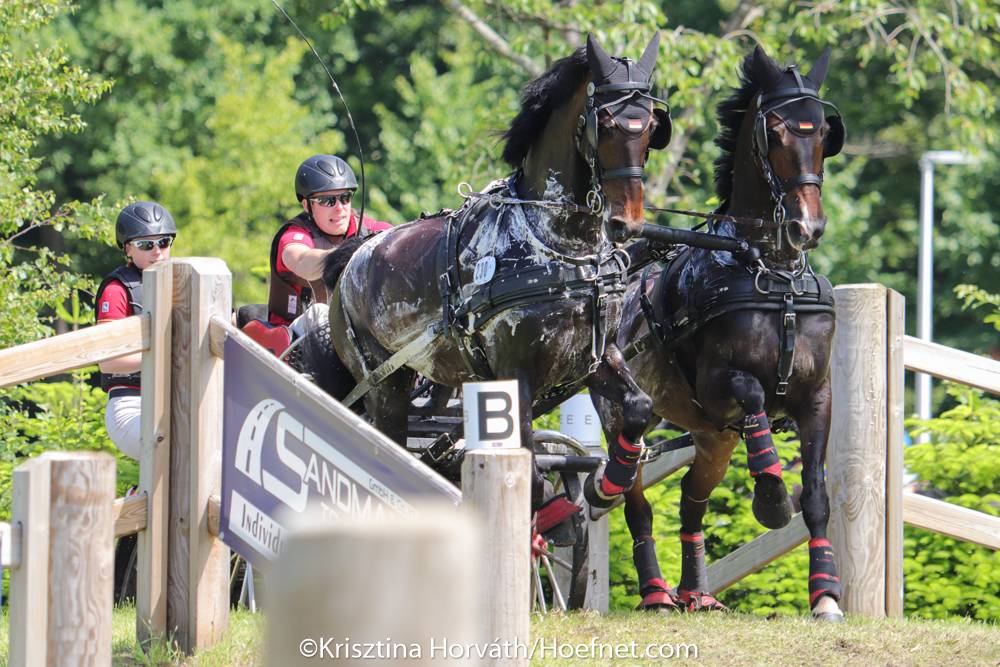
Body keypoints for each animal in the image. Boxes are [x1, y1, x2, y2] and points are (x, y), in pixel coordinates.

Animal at [324, 34, 671, 508]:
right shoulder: (515, 374)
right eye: (605, 122)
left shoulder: (596, 357)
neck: (559, 246)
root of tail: (353, 260)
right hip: (383, 386)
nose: (628, 222)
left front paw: (606, 485)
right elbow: (531, 476)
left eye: (652, 125)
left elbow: (637, 406)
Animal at [589, 45, 847, 618]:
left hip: (713, 438)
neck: (772, 276)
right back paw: (656, 591)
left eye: (824, 132)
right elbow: (752, 394)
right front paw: (771, 497)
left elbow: (816, 497)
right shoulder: (715, 385)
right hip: (624, 413)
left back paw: (696, 592)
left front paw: (825, 595)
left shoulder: (817, 396)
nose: (808, 227)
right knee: (636, 498)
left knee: (691, 501)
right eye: (775, 131)